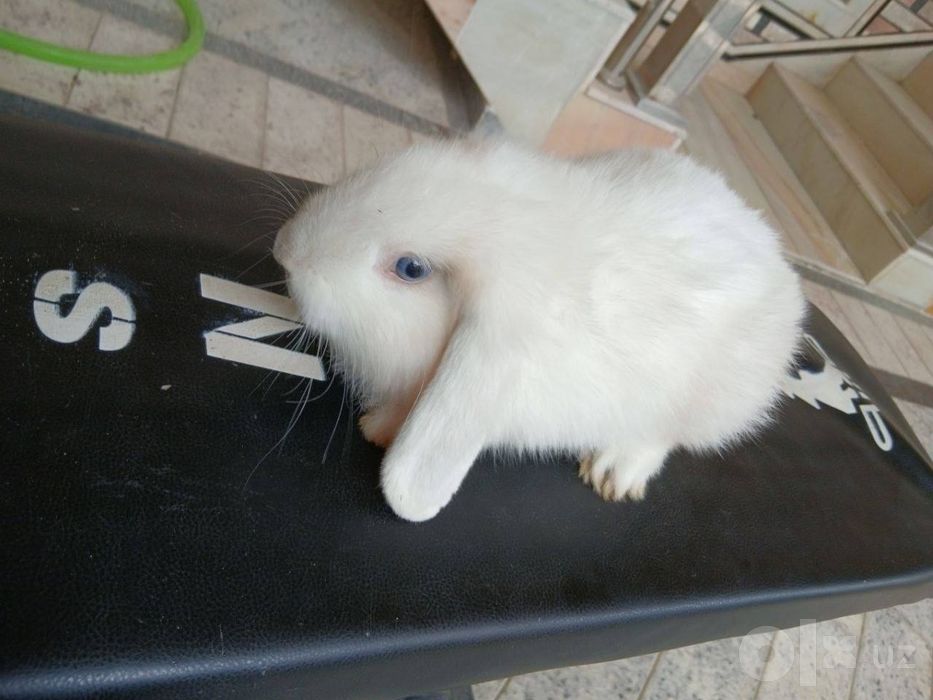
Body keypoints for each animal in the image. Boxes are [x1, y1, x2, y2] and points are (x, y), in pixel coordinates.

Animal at [273, 139, 806, 522]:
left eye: (411, 269)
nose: (284, 250)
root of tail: (779, 265)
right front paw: (378, 427)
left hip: (707, 399)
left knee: (665, 434)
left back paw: (612, 471)